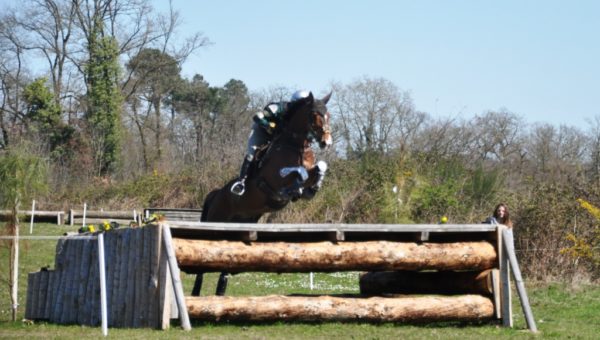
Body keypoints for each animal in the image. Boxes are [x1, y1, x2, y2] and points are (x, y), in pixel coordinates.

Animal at [193, 91, 330, 296]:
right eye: (315, 114)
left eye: (328, 114)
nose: (326, 142)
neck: (294, 145)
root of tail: (215, 194)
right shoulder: (275, 177)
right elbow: (296, 172)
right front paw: (295, 188)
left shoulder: (311, 168)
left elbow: (320, 167)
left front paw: (311, 188)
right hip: (216, 221)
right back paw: (196, 292)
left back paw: (220, 292)